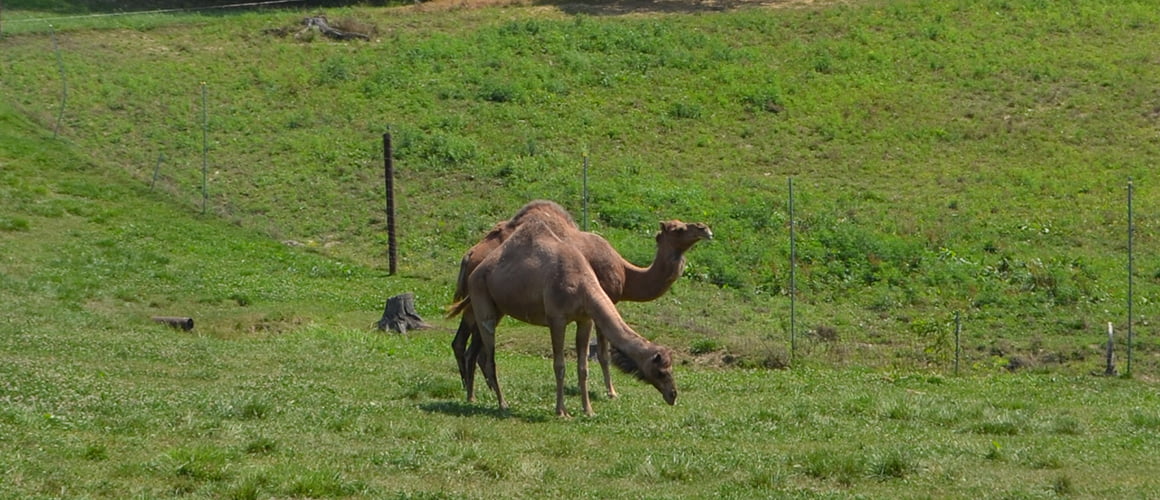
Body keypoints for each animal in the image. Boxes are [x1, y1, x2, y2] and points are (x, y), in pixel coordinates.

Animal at [450, 201, 711, 402]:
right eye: (677, 229)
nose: (704, 228)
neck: (627, 275)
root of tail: (469, 255)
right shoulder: (607, 299)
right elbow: (603, 353)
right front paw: (611, 392)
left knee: (467, 344)